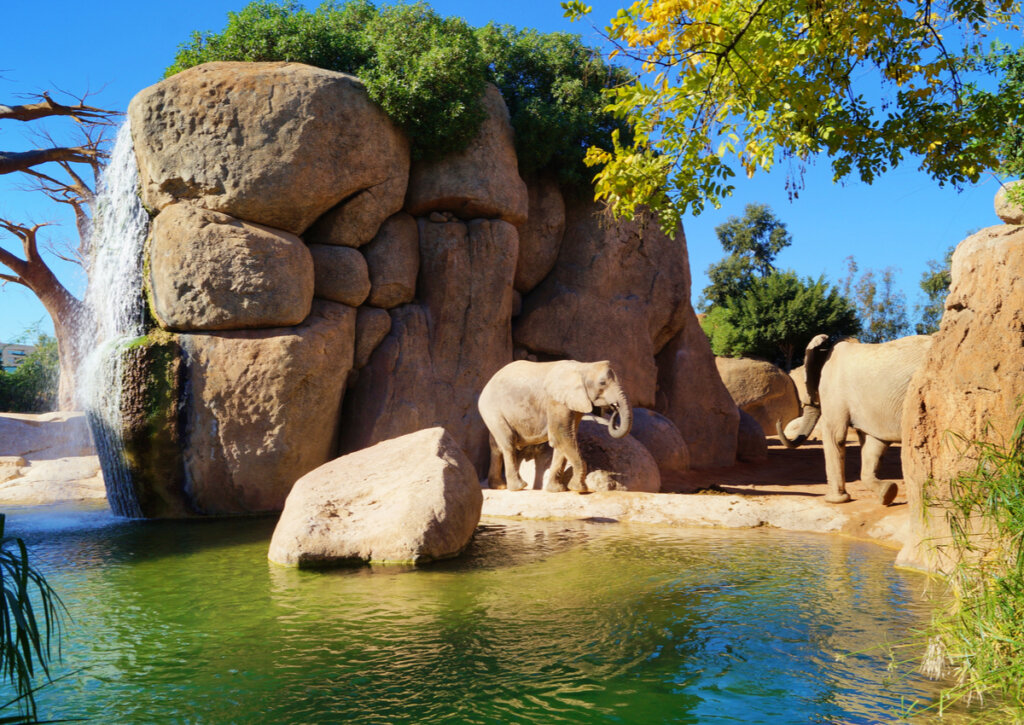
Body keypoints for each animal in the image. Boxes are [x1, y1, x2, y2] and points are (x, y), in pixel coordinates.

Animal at [478, 359, 632, 492]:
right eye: (602, 383)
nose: (614, 408)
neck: (583, 367)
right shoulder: (555, 400)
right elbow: (561, 435)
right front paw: (580, 489)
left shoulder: (573, 402)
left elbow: (565, 439)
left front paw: (558, 490)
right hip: (492, 409)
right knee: (508, 442)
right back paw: (518, 487)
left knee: (496, 445)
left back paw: (499, 486)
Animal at [777, 333, 933, 506]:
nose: (779, 420)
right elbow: (874, 443)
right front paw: (888, 493)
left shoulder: (834, 389)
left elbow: (835, 435)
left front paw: (834, 500)